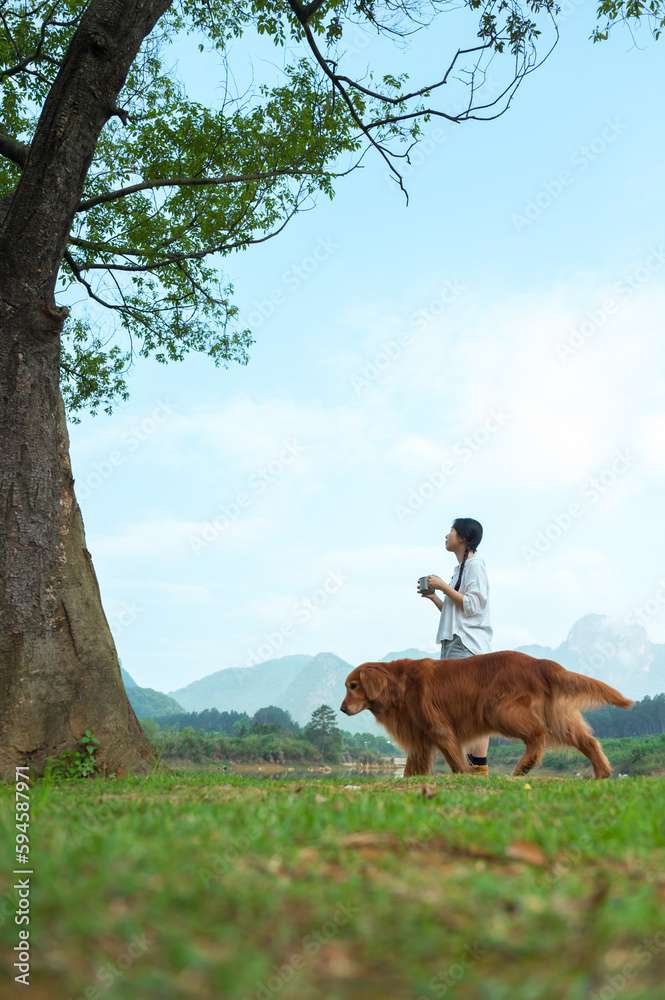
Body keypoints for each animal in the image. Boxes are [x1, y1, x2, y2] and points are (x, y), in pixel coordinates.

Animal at [342, 648, 632, 780]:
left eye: (353, 686)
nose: (343, 708)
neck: (398, 687)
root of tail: (540, 663)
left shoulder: (438, 728)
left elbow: (454, 758)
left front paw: (464, 776)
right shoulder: (420, 739)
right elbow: (414, 766)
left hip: (498, 710)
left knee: (538, 734)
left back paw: (523, 767)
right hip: (557, 717)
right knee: (587, 741)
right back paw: (602, 772)